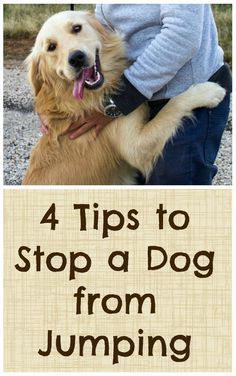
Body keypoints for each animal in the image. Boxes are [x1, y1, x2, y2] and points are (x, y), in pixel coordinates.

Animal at [22, 12, 227, 186]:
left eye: (76, 28)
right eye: (51, 47)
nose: (76, 58)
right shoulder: (136, 146)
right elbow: (172, 106)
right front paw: (207, 91)